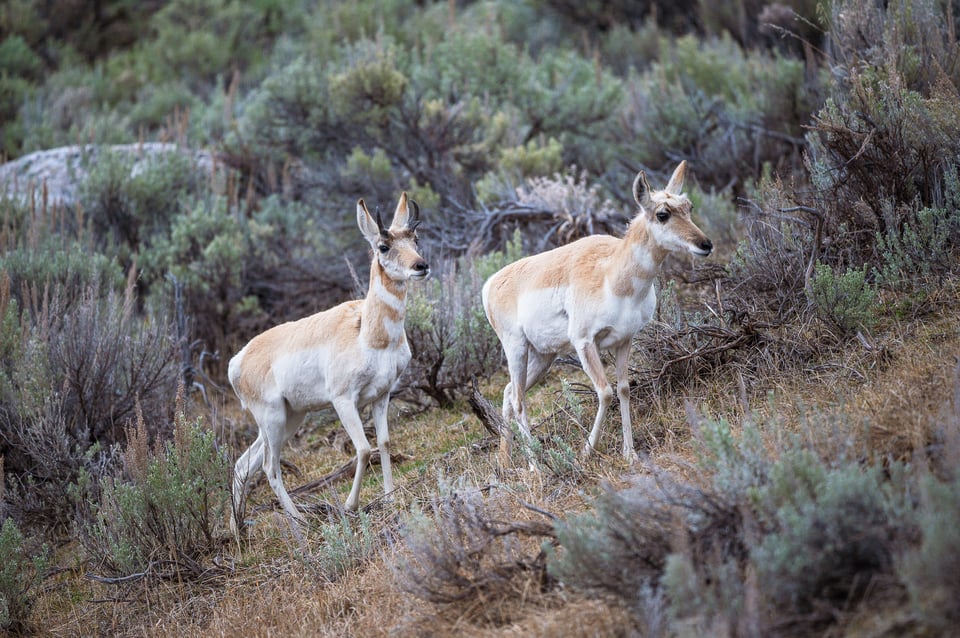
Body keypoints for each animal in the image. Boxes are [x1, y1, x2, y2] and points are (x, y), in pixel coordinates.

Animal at [229, 192, 428, 532]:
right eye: (383, 246)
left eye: (414, 238)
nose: (421, 266)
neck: (368, 332)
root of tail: (239, 359)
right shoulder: (343, 400)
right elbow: (363, 449)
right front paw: (350, 505)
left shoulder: (381, 396)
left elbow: (385, 442)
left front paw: (389, 496)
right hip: (272, 419)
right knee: (269, 467)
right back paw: (298, 520)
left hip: (290, 418)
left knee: (244, 465)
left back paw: (237, 530)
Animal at [484, 161, 708, 464]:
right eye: (663, 214)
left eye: (689, 207)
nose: (705, 244)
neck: (613, 275)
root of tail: (491, 283)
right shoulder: (585, 342)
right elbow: (604, 392)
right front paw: (585, 451)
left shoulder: (624, 341)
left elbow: (623, 389)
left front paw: (630, 453)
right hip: (516, 348)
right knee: (519, 400)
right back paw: (535, 466)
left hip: (543, 357)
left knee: (508, 392)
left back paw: (505, 460)